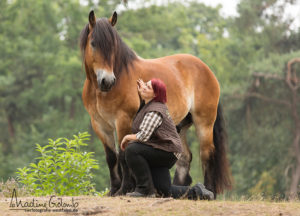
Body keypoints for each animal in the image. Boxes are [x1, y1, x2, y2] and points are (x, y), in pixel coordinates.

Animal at [79, 9, 232, 196]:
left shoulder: (123, 121)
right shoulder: (100, 125)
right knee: (184, 157)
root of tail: (207, 70)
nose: (107, 81)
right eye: (93, 43)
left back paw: (209, 191)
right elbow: (111, 157)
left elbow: (123, 154)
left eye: (113, 45)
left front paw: (124, 189)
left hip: (204, 122)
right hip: (179, 125)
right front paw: (114, 190)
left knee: (207, 153)